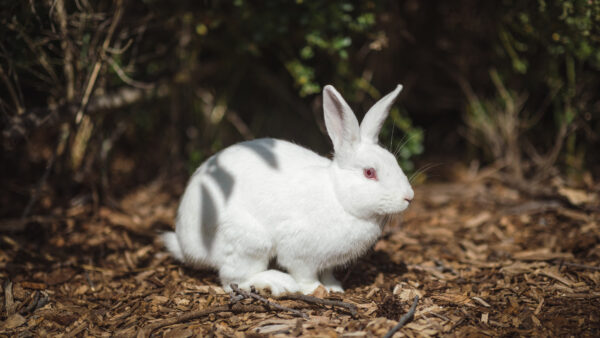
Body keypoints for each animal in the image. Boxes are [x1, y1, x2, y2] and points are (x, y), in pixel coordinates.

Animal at [162, 84, 414, 296]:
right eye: (369, 172)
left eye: (394, 161)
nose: (409, 197)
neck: (339, 197)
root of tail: (185, 244)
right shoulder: (299, 254)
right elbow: (305, 275)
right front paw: (315, 290)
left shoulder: (328, 262)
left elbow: (328, 273)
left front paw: (335, 288)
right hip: (249, 243)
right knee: (233, 280)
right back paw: (278, 283)